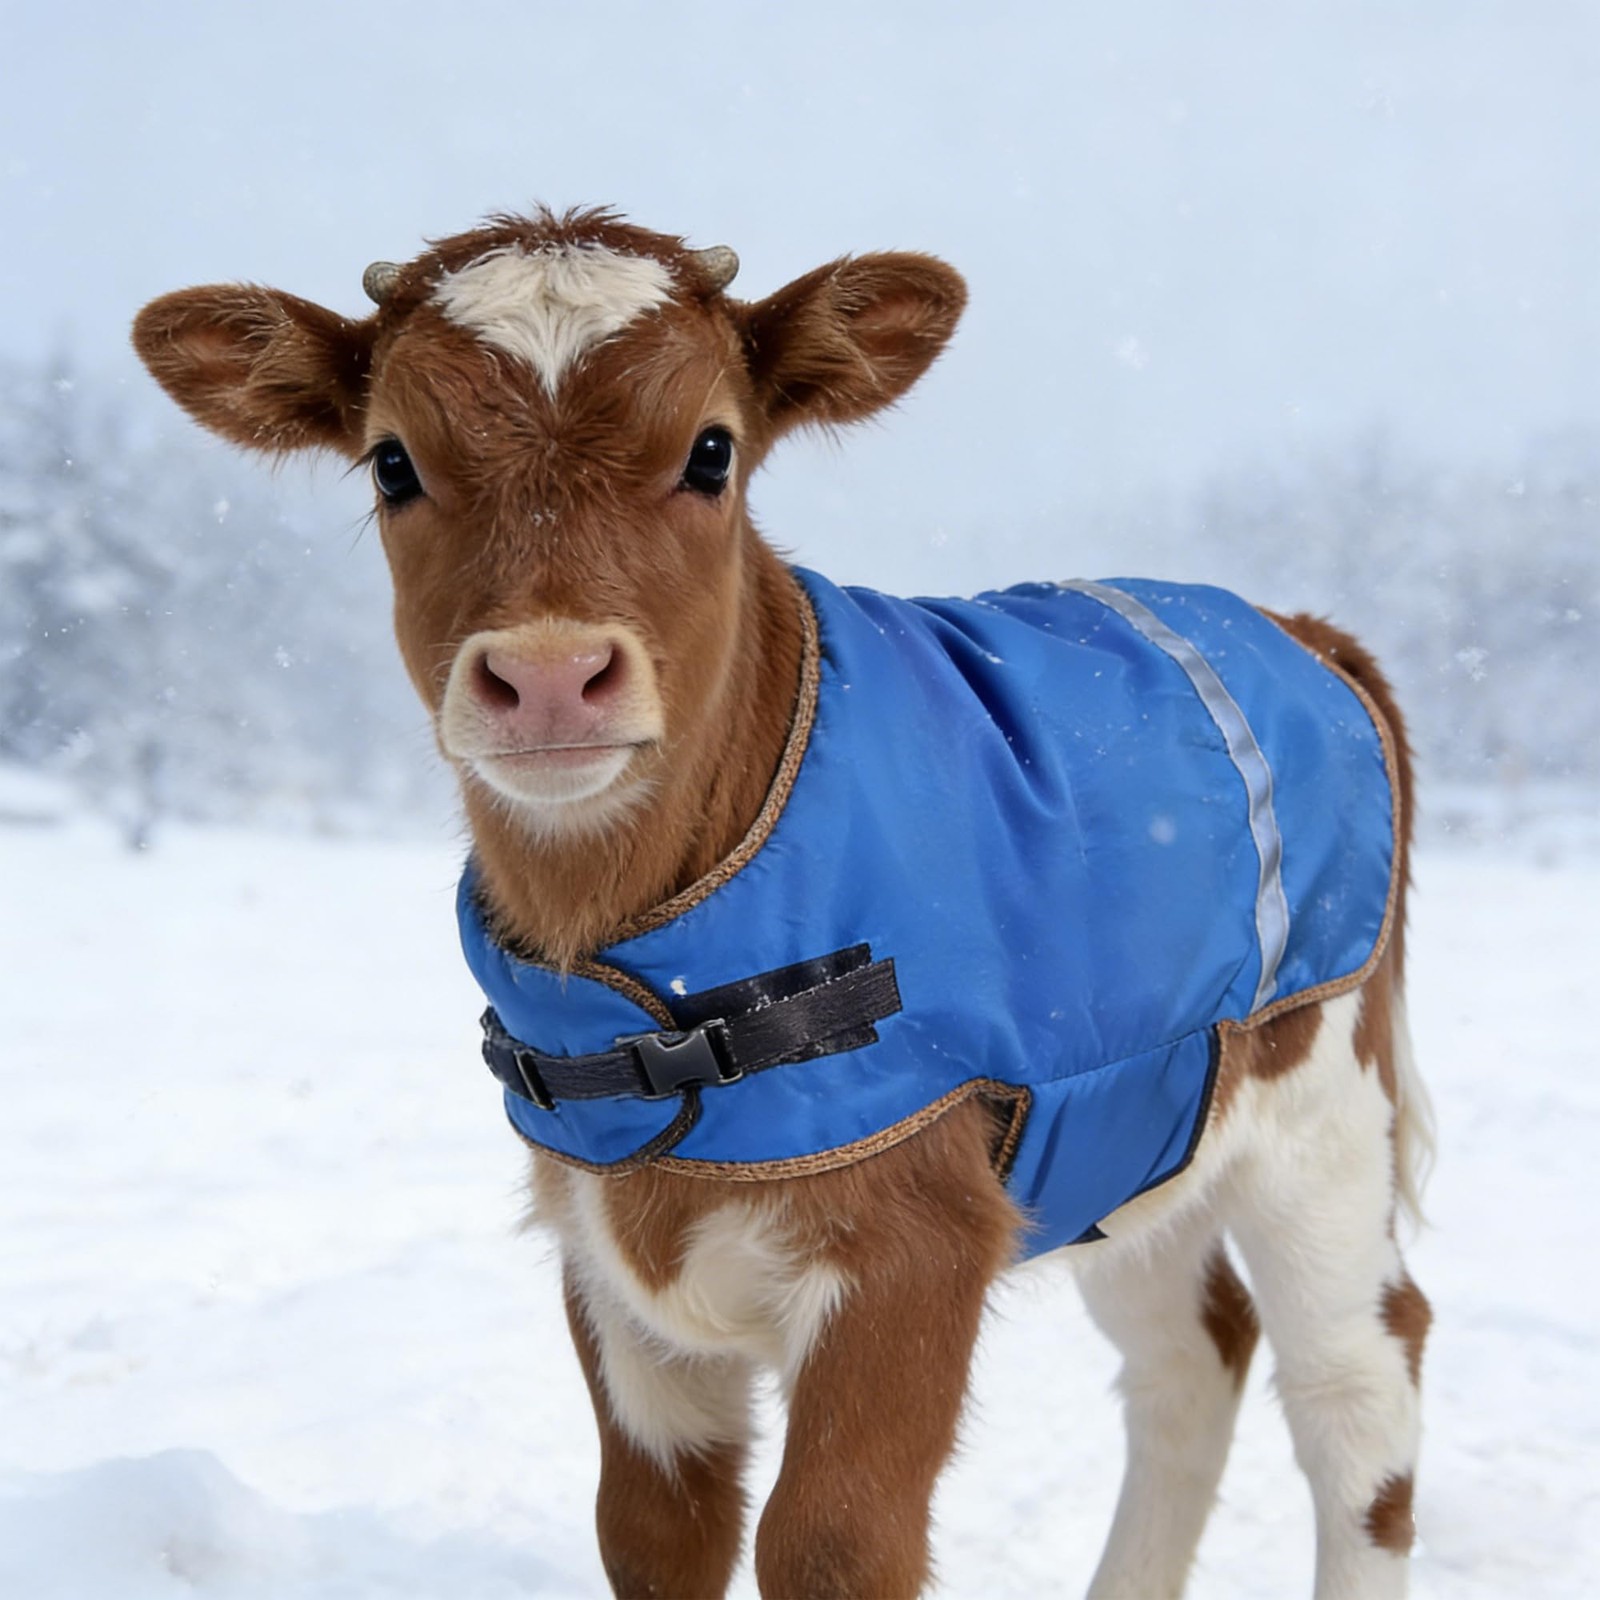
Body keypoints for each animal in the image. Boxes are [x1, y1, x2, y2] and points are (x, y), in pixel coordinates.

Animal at [132, 206, 1432, 1599]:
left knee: (1355, 1381)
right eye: (390, 463)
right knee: (1192, 1355)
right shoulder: (603, 1246)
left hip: (1321, 1113)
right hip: (1134, 1131)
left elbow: (833, 1539)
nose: (550, 675)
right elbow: (656, 1531)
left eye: (712, 450)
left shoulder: (916, 1238)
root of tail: (1292, 621)